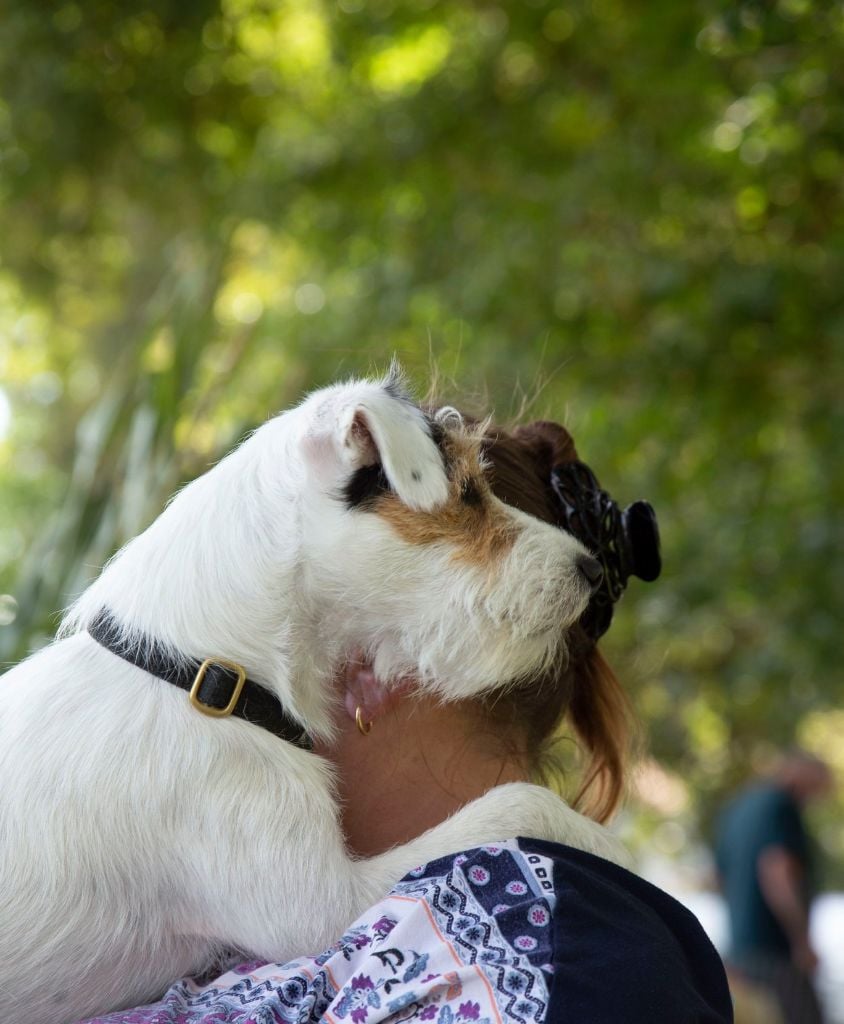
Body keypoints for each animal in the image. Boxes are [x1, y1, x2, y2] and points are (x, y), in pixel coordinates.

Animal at [0, 368, 628, 1023]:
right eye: (469, 495)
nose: (590, 569)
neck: (201, 673)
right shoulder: (322, 903)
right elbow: (521, 800)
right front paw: (602, 842)